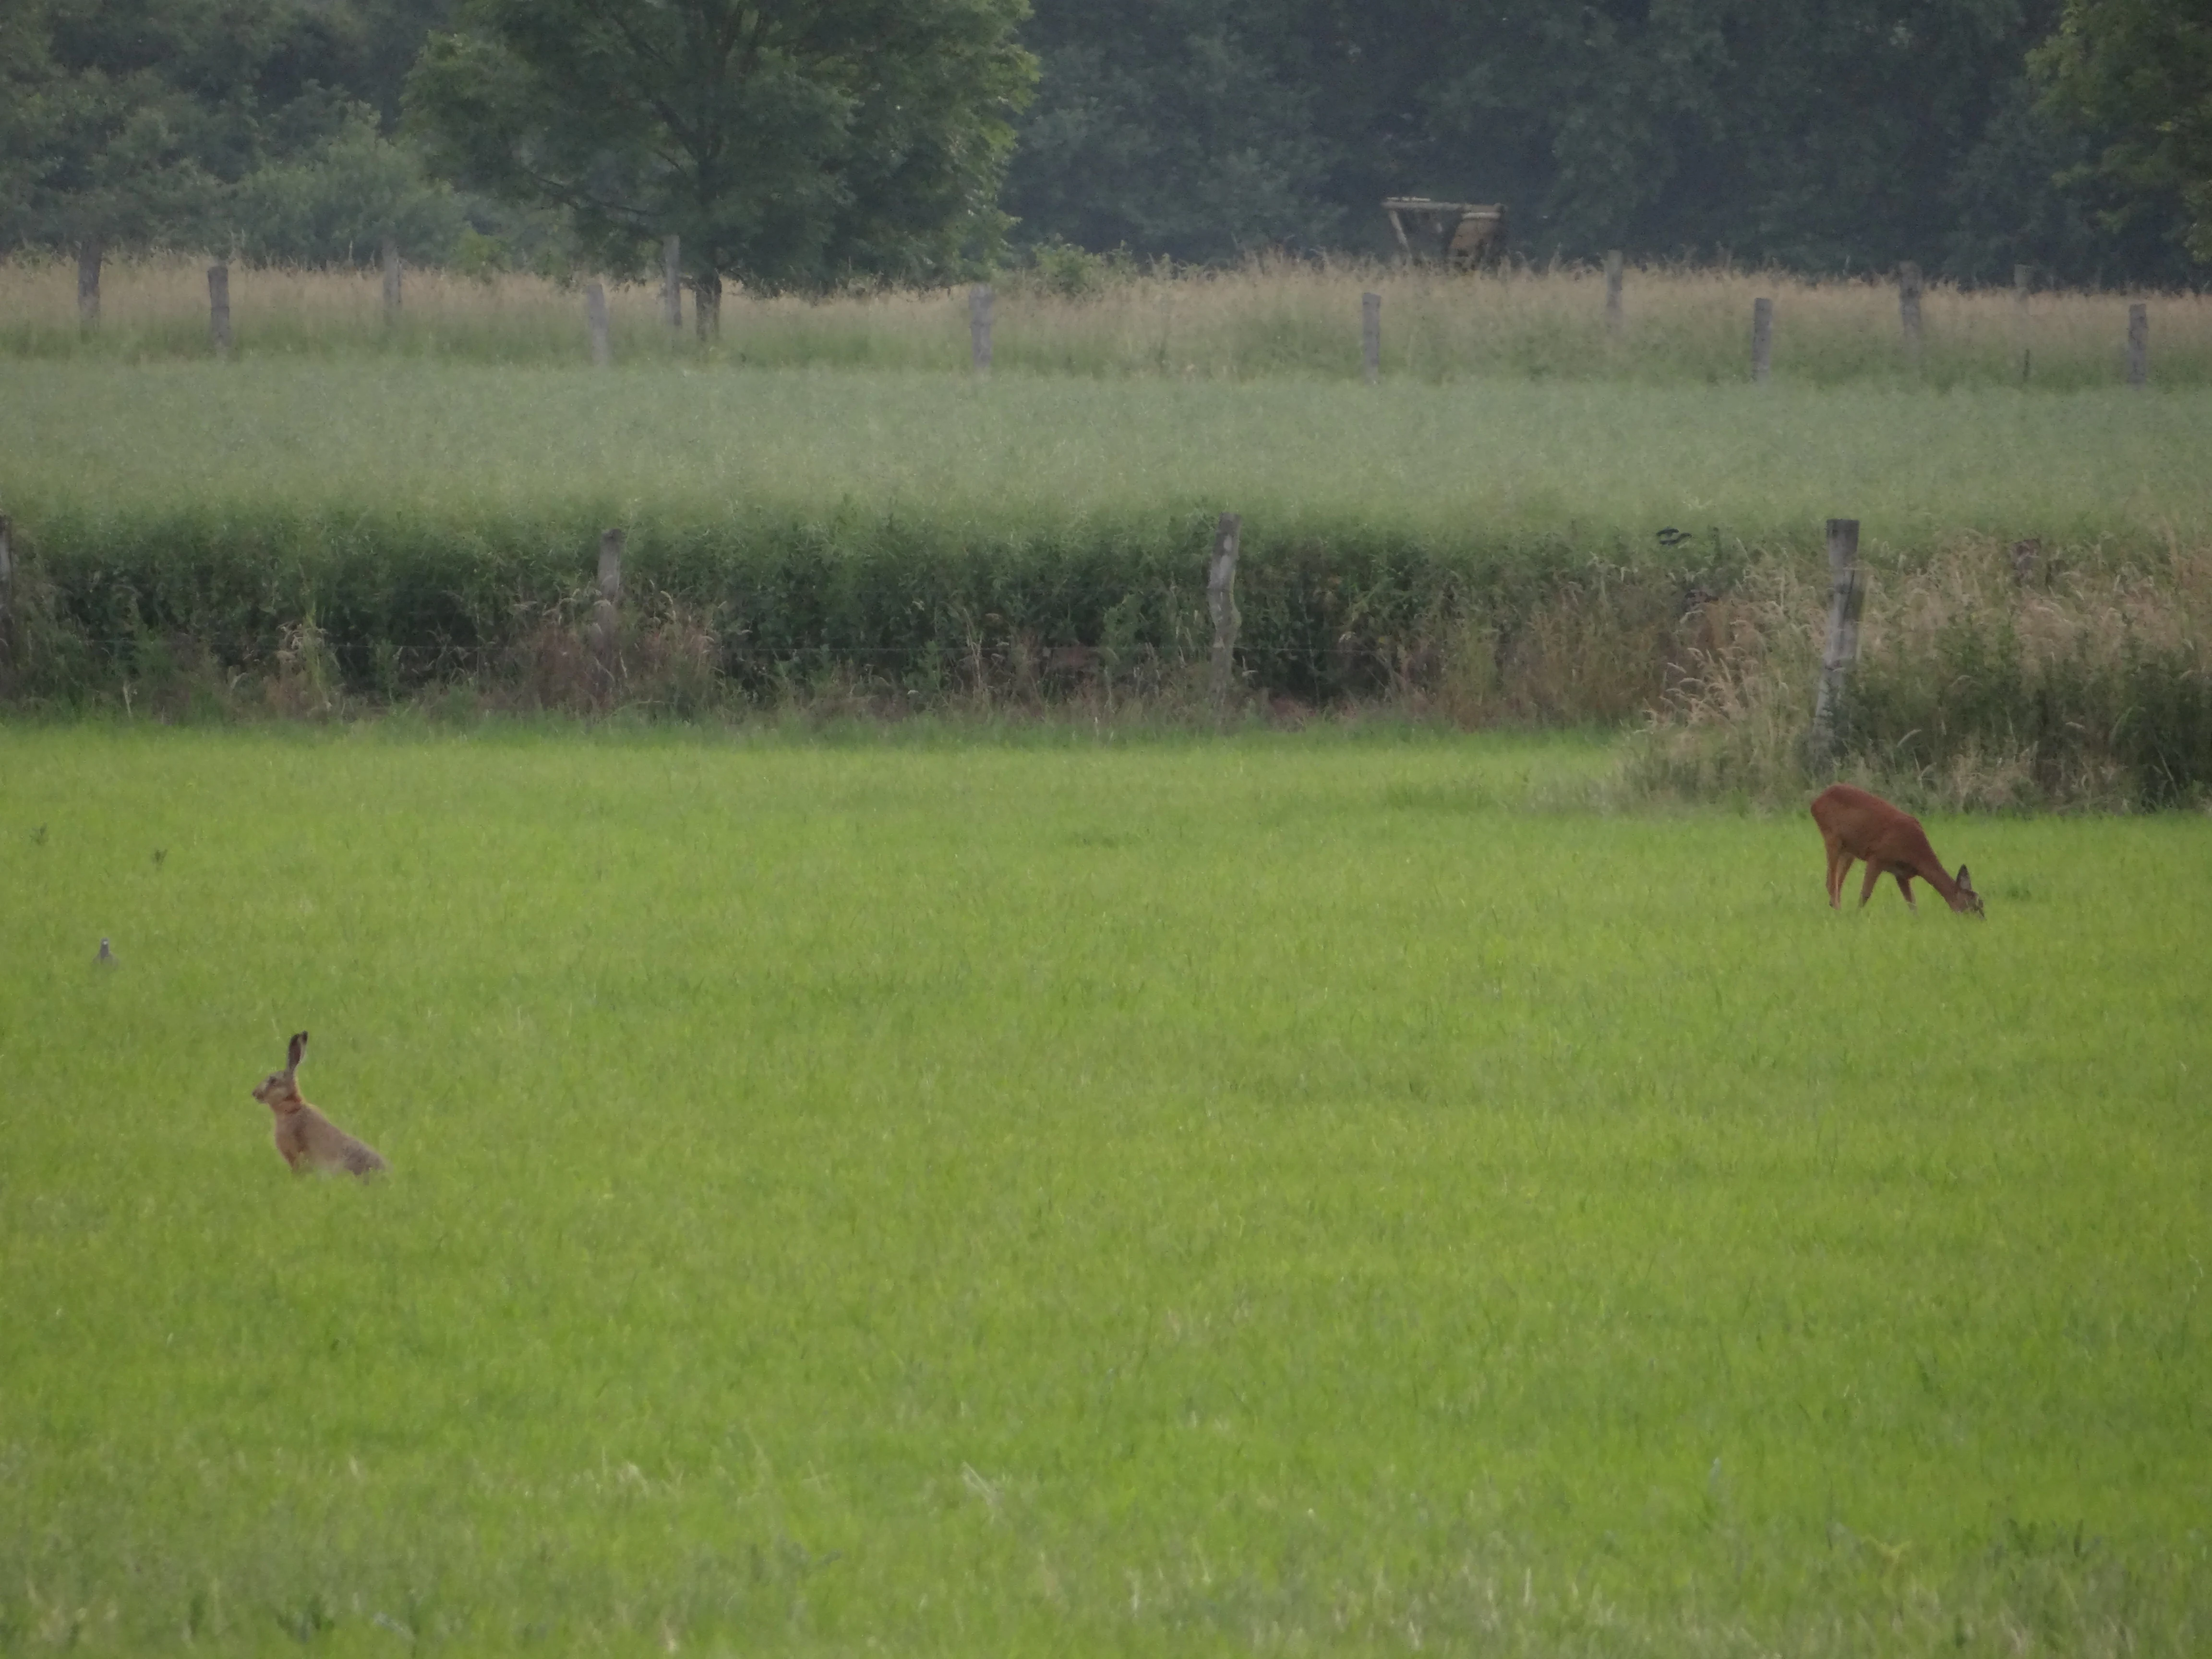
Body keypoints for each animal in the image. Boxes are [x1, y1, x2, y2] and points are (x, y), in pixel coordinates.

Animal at [1810, 784, 1983, 916]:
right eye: (1974, 905)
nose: (1982, 921)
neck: (1916, 854)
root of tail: (1815, 803)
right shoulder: (1877, 857)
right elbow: (1865, 894)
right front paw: (1856, 916)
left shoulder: (1901, 874)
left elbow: (1912, 903)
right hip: (1832, 838)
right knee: (1831, 883)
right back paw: (1839, 912)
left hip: (1849, 850)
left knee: (1836, 883)